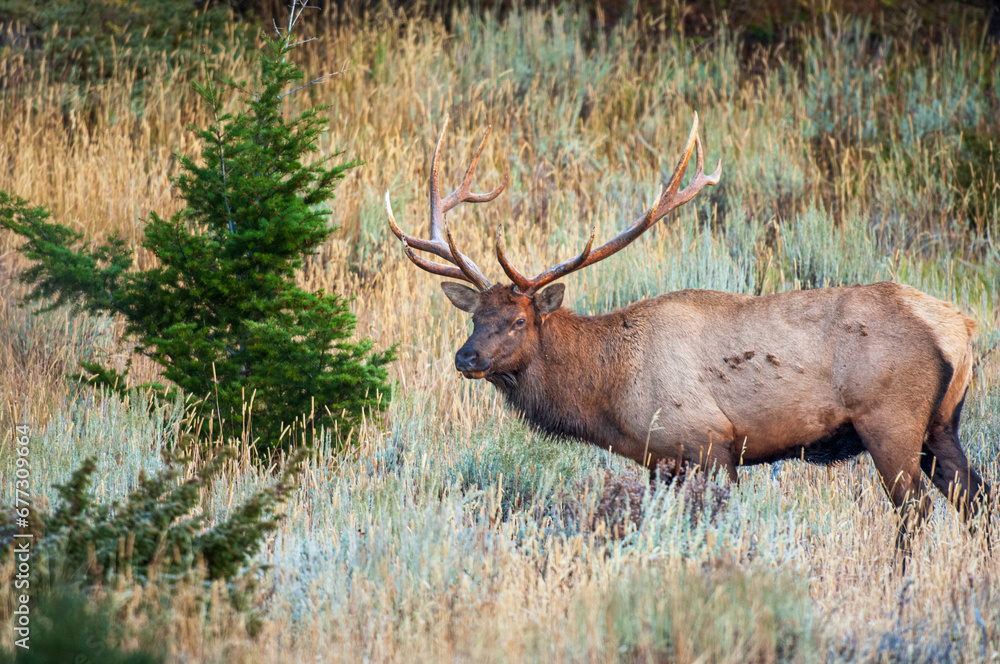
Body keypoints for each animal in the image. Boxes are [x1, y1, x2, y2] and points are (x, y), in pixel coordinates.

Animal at [384, 113, 991, 550]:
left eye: (517, 321)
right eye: (473, 317)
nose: (465, 358)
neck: (612, 392)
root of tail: (960, 328)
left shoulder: (710, 443)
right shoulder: (661, 461)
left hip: (890, 419)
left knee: (915, 508)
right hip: (941, 424)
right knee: (977, 499)